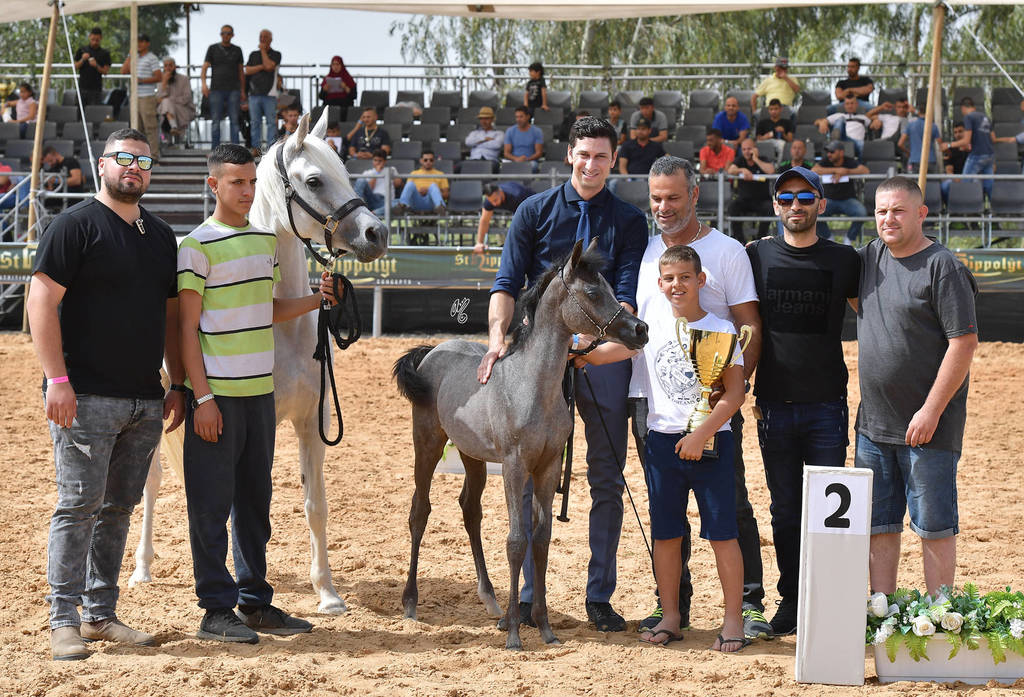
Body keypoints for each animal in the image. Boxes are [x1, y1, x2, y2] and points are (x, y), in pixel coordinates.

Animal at [129, 109, 389, 615]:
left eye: (347, 173)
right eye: (314, 180)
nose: (377, 234)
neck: (280, 327)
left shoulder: (311, 423)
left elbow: (314, 506)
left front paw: (328, 594)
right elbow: (242, 506)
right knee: (150, 483)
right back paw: (142, 569)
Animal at [392, 240, 648, 649]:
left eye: (612, 289)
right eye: (593, 293)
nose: (640, 329)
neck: (532, 387)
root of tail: (432, 350)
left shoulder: (547, 467)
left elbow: (540, 539)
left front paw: (544, 628)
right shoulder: (514, 467)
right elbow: (516, 541)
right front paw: (514, 633)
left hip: (472, 455)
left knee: (470, 510)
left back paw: (490, 599)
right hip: (429, 443)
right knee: (420, 511)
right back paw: (411, 603)